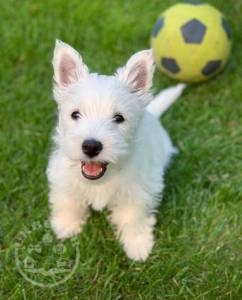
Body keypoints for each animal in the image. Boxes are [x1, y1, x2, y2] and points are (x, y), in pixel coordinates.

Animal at [46, 39, 184, 260]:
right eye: (75, 114)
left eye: (119, 118)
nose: (91, 146)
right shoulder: (63, 177)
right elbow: (68, 200)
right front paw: (67, 226)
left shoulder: (138, 190)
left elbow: (133, 217)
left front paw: (138, 245)